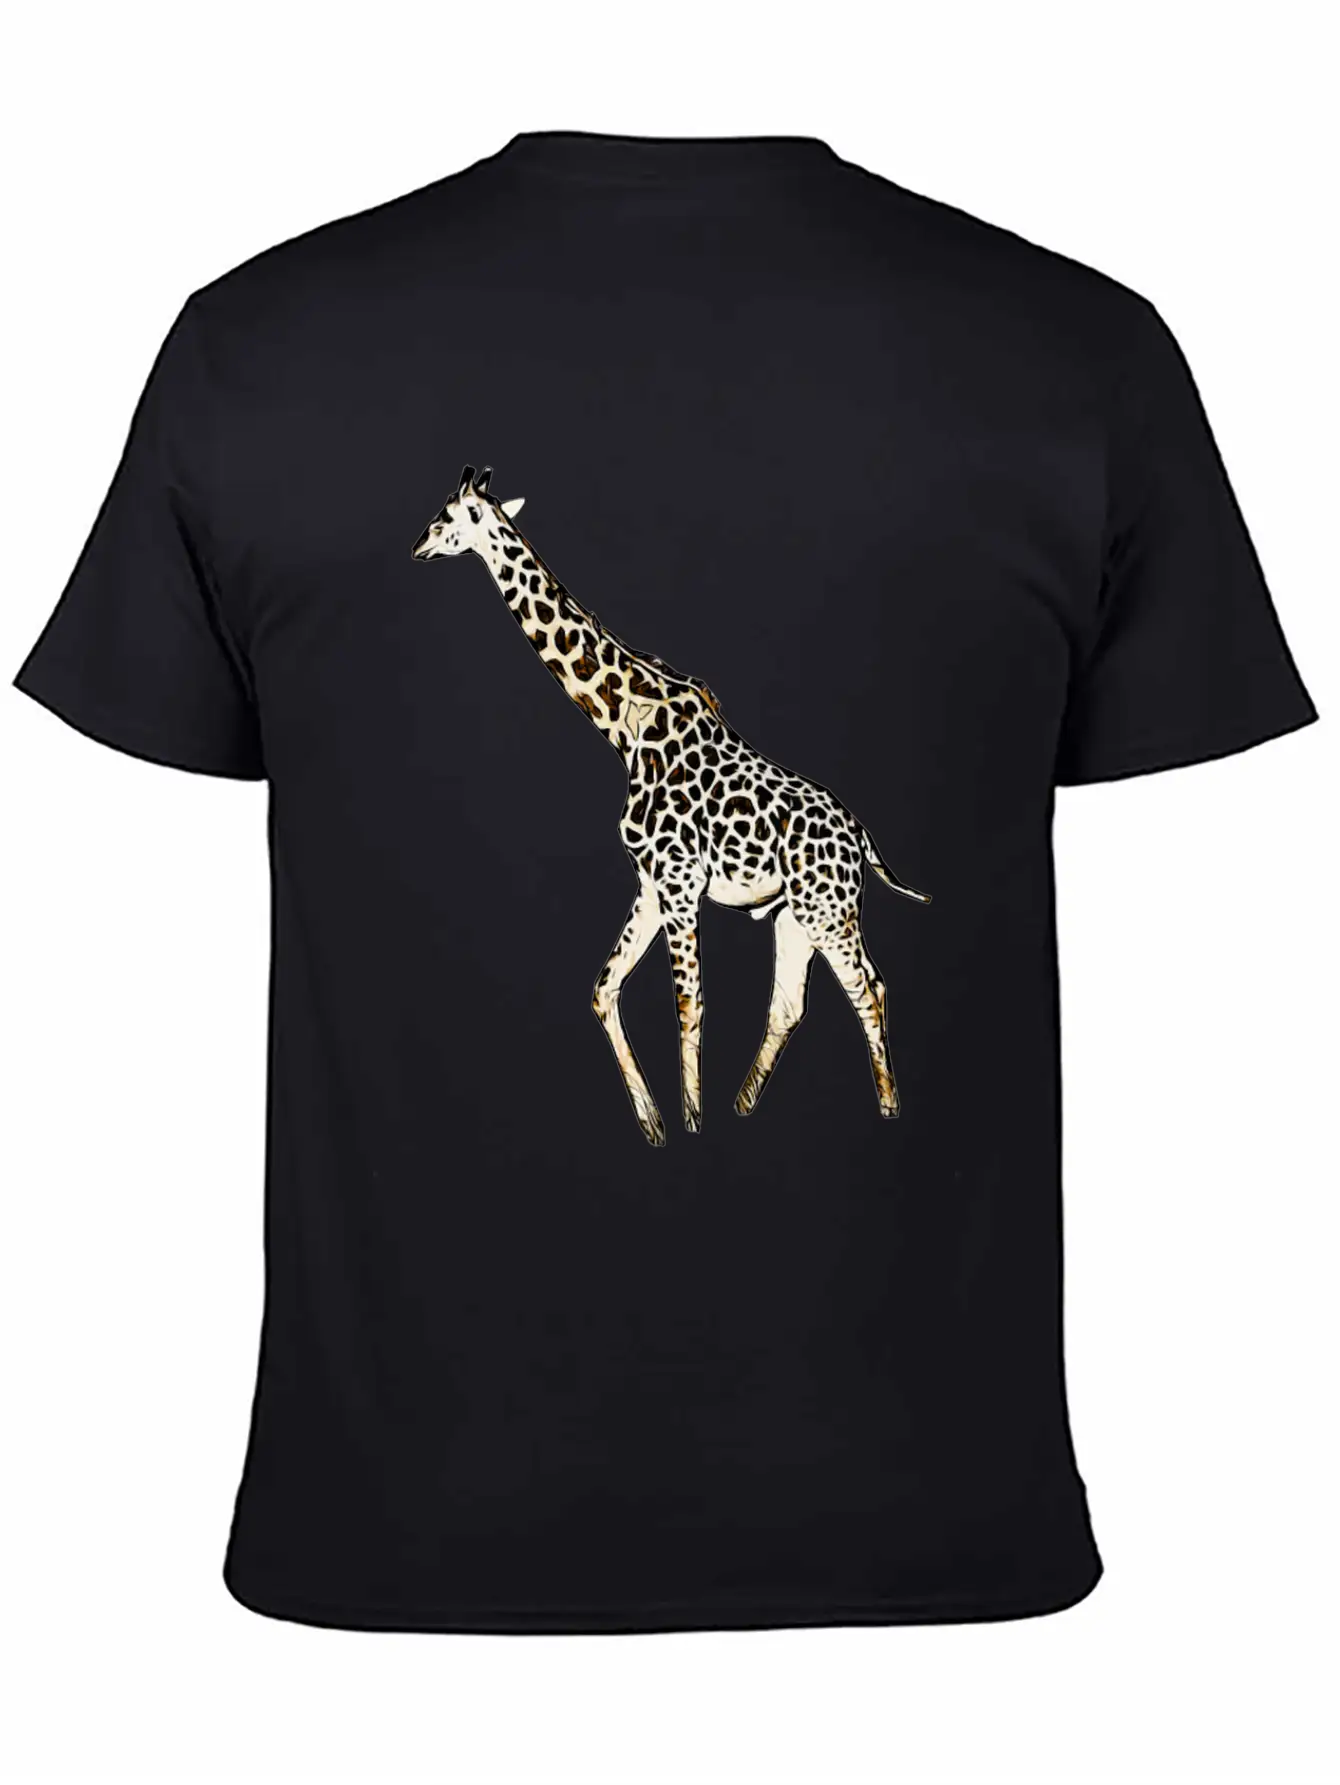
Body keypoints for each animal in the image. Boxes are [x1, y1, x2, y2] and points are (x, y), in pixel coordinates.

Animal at [413, 467, 928, 1144]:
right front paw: (654, 1120)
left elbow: (689, 1003)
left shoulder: (680, 880)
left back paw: (888, 1109)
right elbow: (604, 989)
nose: (419, 545)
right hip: (797, 915)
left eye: (449, 516)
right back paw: (746, 1107)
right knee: (801, 1000)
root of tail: (860, 839)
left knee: (867, 990)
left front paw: (691, 1123)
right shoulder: (652, 883)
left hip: (827, 909)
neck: (623, 727)